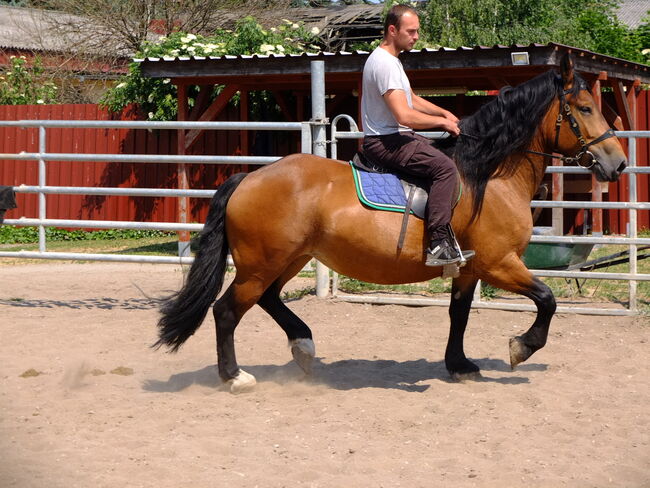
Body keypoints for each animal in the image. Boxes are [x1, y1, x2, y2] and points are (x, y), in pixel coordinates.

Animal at [154, 55, 624, 394]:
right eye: (585, 108)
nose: (617, 164)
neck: (488, 176)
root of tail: (249, 178)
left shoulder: (469, 267)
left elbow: (459, 314)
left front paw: (459, 365)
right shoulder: (499, 263)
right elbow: (547, 299)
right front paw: (521, 347)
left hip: (289, 258)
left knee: (268, 299)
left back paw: (303, 346)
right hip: (262, 262)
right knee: (227, 311)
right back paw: (235, 376)